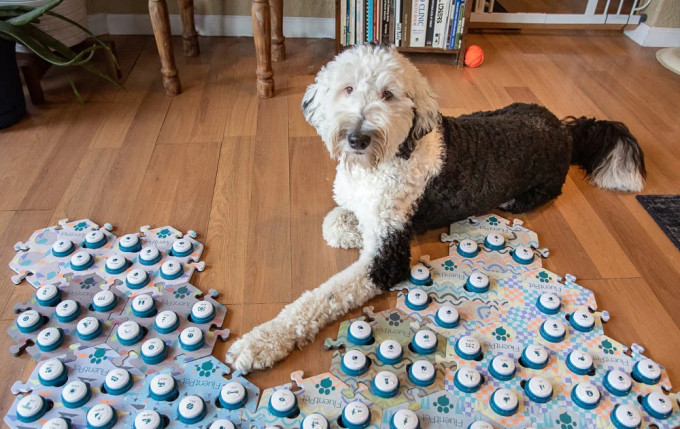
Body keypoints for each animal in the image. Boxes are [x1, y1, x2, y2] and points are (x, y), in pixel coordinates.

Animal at [226, 42, 644, 372]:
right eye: (347, 88)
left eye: (389, 95)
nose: (357, 138)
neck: (386, 157)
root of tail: (564, 129)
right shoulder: (359, 207)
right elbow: (336, 222)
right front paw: (351, 230)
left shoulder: (387, 258)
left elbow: (321, 298)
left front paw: (261, 343)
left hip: (539, 188)